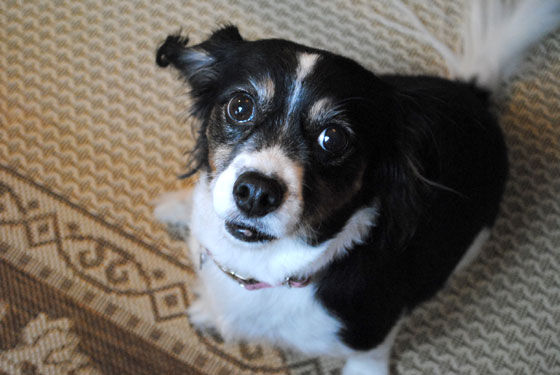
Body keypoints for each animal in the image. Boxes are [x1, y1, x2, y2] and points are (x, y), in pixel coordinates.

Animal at [153, 1, 560, 374]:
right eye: (240, 106)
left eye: (333, 138)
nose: (255, 193)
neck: (266, 271)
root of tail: (474, 93)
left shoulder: (370, 343)